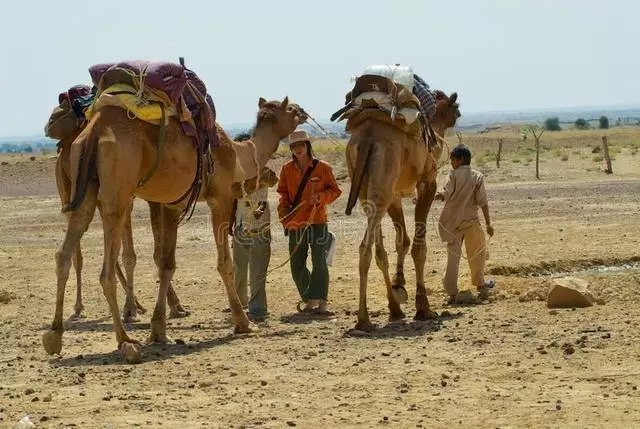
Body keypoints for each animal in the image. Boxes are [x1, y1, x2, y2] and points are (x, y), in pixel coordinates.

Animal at [42, 94, 304, 362]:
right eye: (291, 110)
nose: (304, 112)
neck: (238, 155)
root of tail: (95, 129)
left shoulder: (172, 204)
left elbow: (166, 263)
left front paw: (159, 329)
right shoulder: (220, 198)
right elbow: (224, 263)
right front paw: (243, 322)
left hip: (84, 187)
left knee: (64, 254)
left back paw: (55, 334)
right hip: (118, 190)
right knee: (106, 268)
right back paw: (126, 340)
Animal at [344, 90, 460, 330]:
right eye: (456, 109)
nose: (457, 116)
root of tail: (368, 138)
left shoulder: (395, 195)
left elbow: (402, 241)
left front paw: (399, 287)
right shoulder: (427, 183)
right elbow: (418, 247)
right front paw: (423, 306)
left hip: (367, 187)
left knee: (377, 247)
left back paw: (392, 309)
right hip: (383, 182)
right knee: (365, 248)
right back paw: (363, 318)